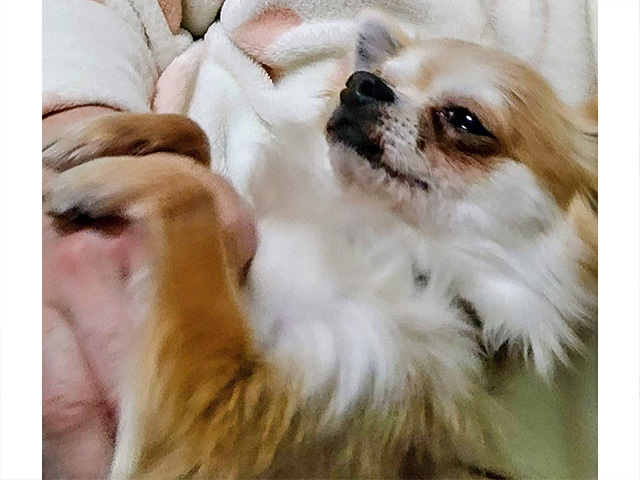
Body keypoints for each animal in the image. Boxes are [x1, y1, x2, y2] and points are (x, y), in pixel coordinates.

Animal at [43, 12, 597, 479]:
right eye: (378, 76)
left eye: (465, 121)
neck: (363, 231)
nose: (361, 84)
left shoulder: (217, 424)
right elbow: (197, 136)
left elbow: (194, 197)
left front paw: (100, 177)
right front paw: (97, 135)